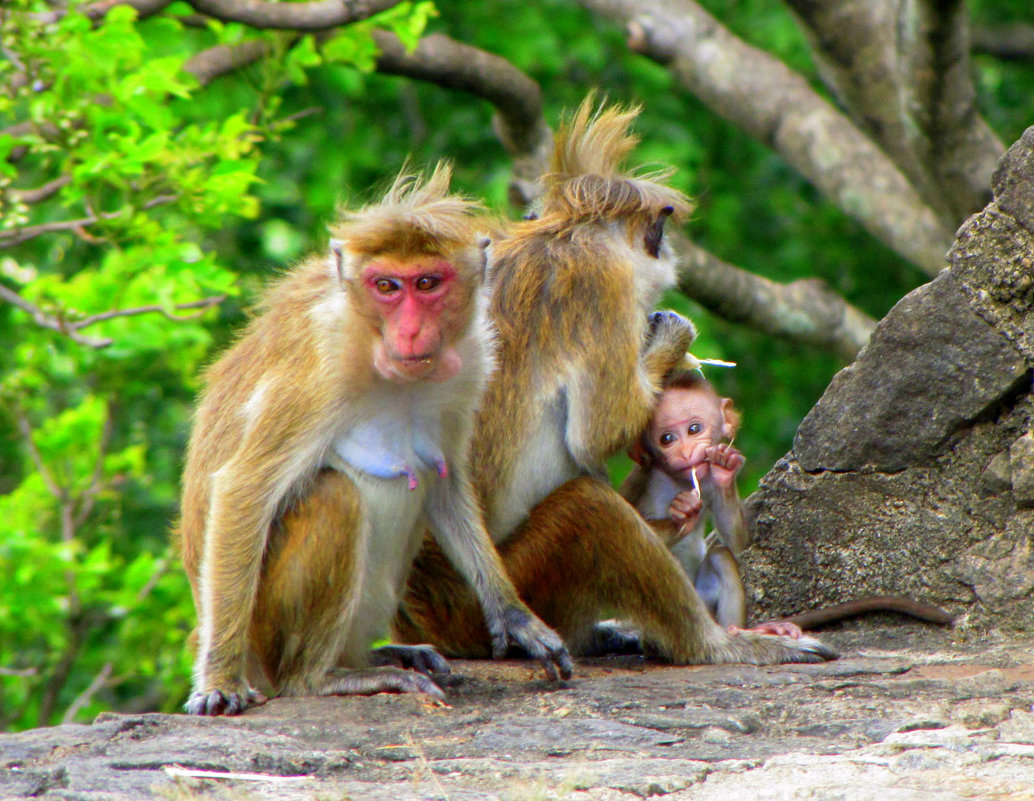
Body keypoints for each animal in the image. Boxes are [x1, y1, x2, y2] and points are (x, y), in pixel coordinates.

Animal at [620, 365, 798, 640]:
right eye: (667, 438)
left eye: (694, 429)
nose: (685, 453)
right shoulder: (641, 476)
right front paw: (681, 512)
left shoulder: (709, 483)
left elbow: (736, 542)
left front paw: (725, 468)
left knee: (720, 556)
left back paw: (737, 630)